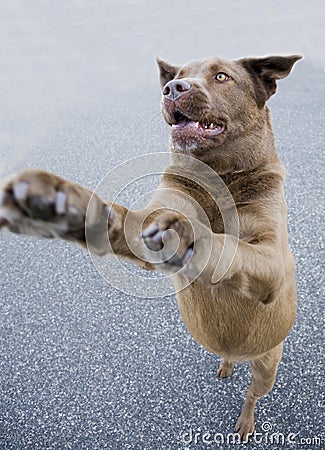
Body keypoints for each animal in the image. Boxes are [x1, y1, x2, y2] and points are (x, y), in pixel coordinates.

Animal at [0, 54, 300, 442]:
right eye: (180, 75)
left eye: (222, 76)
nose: (172, 88)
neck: (219, 177)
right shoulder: (153, 215)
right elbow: (121, 218)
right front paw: (59, 203)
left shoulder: (271, 261)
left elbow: (229, 247)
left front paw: (188, 235)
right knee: (230, 358)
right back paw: (226, 363)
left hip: (267, 365)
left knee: (252, 395)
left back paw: (246, 421)